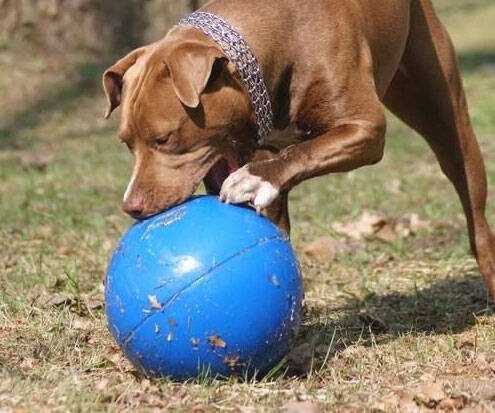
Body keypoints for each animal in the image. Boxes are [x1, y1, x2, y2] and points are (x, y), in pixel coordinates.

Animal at [101, 0, 495, 300]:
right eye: (126, 142)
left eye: (164, 139)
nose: (131, 206)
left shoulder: (364, 128)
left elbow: (305, 151)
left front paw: (255, 178)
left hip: (447, 118)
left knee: (474, 211)